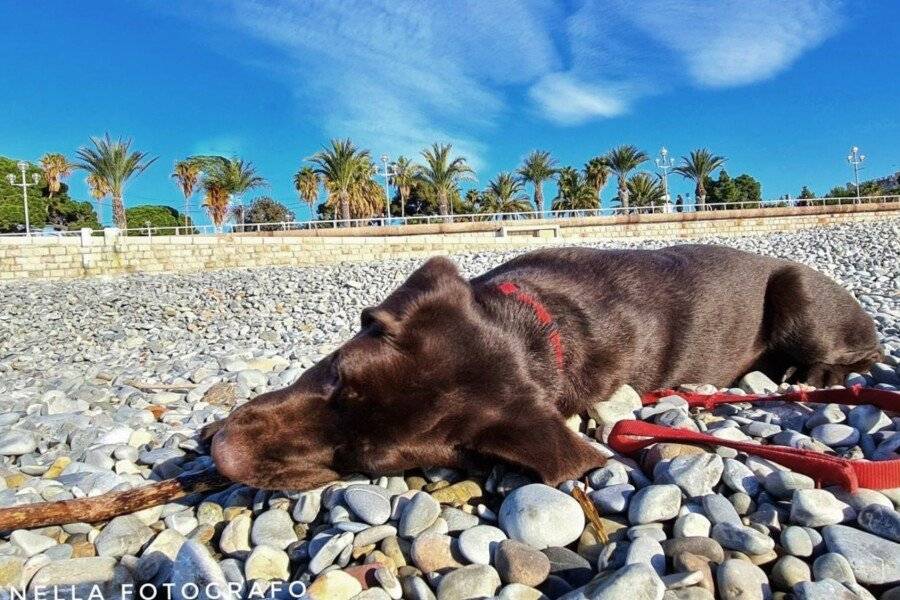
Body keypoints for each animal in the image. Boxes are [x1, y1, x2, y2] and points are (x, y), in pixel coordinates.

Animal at [204, 245, 880, 492]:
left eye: (364, 463)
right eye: (336, 374)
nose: (222, 456)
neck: (529, 334)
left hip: (798, 291)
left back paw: (815, 377)